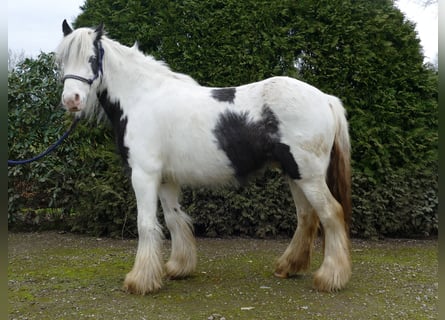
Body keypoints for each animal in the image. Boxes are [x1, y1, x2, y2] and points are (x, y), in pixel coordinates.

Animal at [57, 20, 352, 296]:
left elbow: (146, 224)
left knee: (331, 213)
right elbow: (174, 219)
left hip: (309, 175)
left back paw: (330, 277)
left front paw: (140, 281)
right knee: (307, 216)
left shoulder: (143, 174)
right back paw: (289, 267)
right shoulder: (165, 178)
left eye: (91, 59)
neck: (141, 97)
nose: (72, 100)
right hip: (295, 173)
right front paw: (178, 267)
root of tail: (326, 99)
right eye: (62, 60)